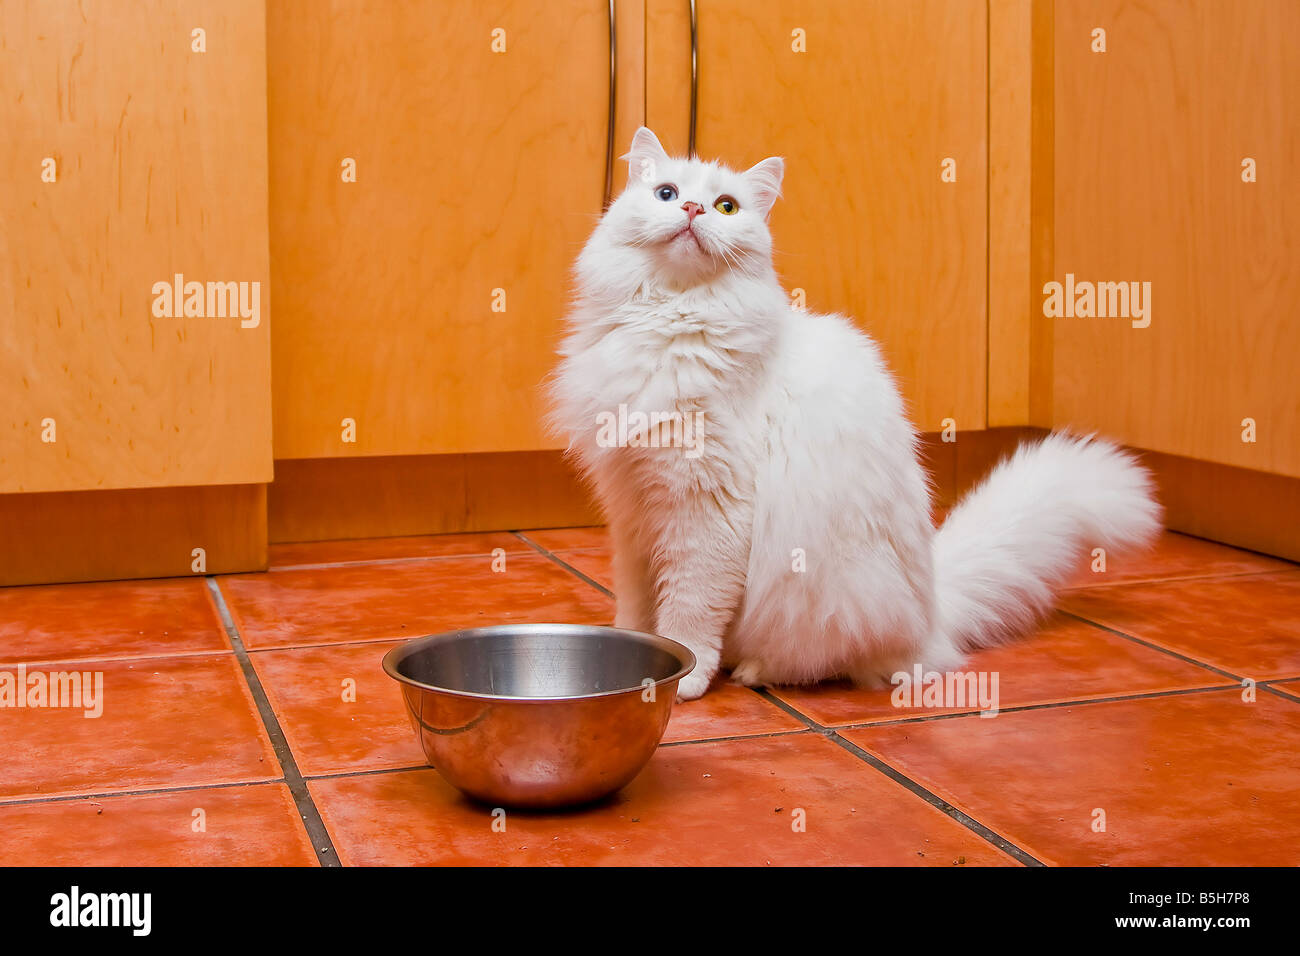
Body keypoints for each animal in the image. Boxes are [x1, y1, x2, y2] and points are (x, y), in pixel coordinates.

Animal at [548, 127, 1159, 697]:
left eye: (726, 206)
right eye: (666, 193)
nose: (693, 210)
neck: (669, 324)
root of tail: (933, 615)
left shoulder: (707, 511)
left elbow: (690, 615)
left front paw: (686, 680)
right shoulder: (632, 510)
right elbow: (638, 608)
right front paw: (637, 655)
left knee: (823, 663)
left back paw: (754, 670)